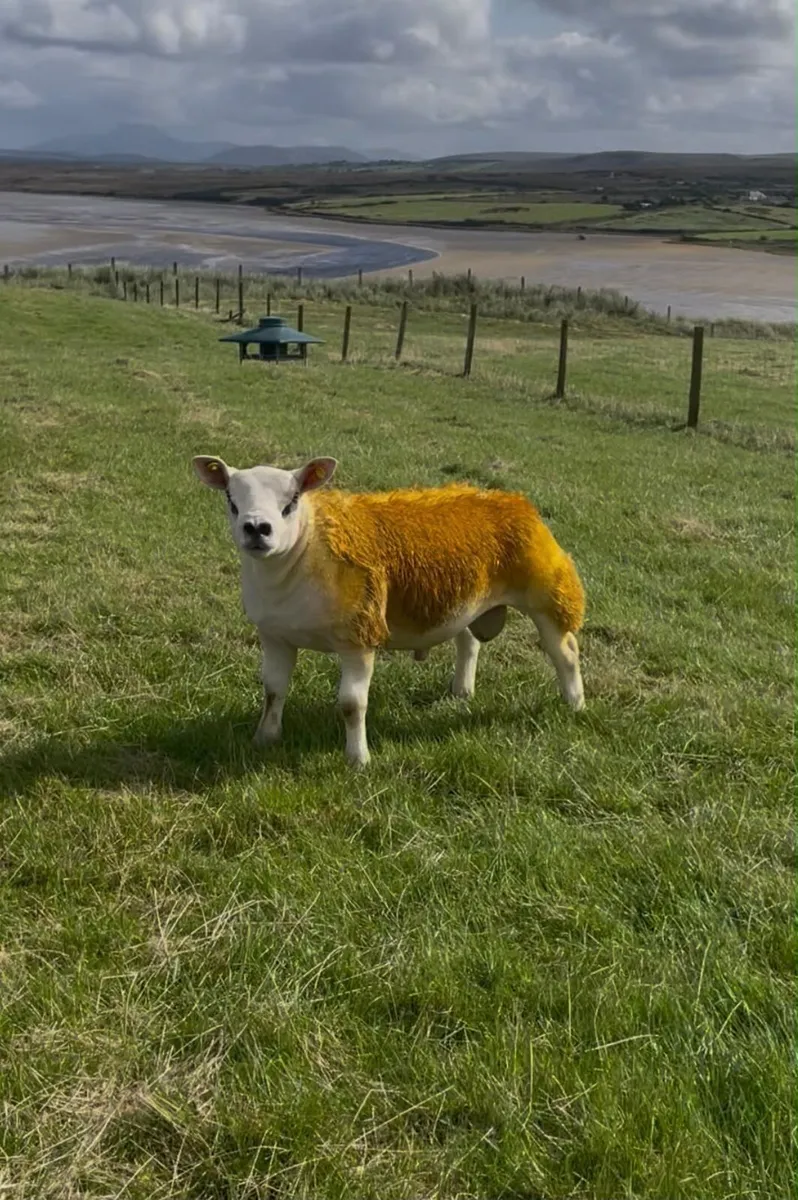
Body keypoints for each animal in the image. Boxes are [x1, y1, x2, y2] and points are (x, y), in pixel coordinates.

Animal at [193, 454, 586, 767]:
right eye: (231, 499)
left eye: (292, 501)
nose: (257, 528)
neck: (307, 548)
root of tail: (510, 500)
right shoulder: (276, 636)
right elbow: (273, 691)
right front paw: (265, 739)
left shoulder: (359, 638)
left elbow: (351, 704)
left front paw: (358, 760)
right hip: (466, 597)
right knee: (468, 642)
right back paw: (461, 691)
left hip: (547, 594)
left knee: (565, 652)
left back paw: (575, 704)